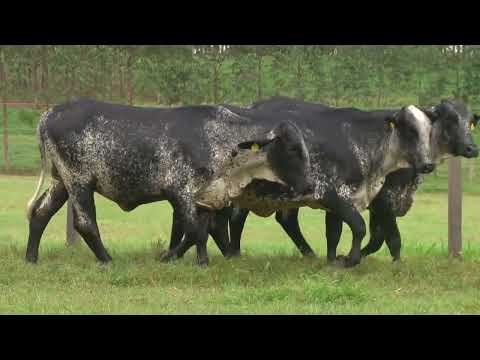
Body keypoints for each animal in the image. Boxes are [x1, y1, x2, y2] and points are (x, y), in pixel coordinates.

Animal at [25, 97, 312, 266]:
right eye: (293, 149)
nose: (309, 186)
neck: (223, 139)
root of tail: (50, 112)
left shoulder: (206, 197)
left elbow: (202, 231)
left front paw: (188, 259)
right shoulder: (181, 192)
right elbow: (195, 231)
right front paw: (182, 259)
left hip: (61, 182)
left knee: (40, 214)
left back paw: (31, 258)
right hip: (79, 182)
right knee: (85, 223)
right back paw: (107, 260)